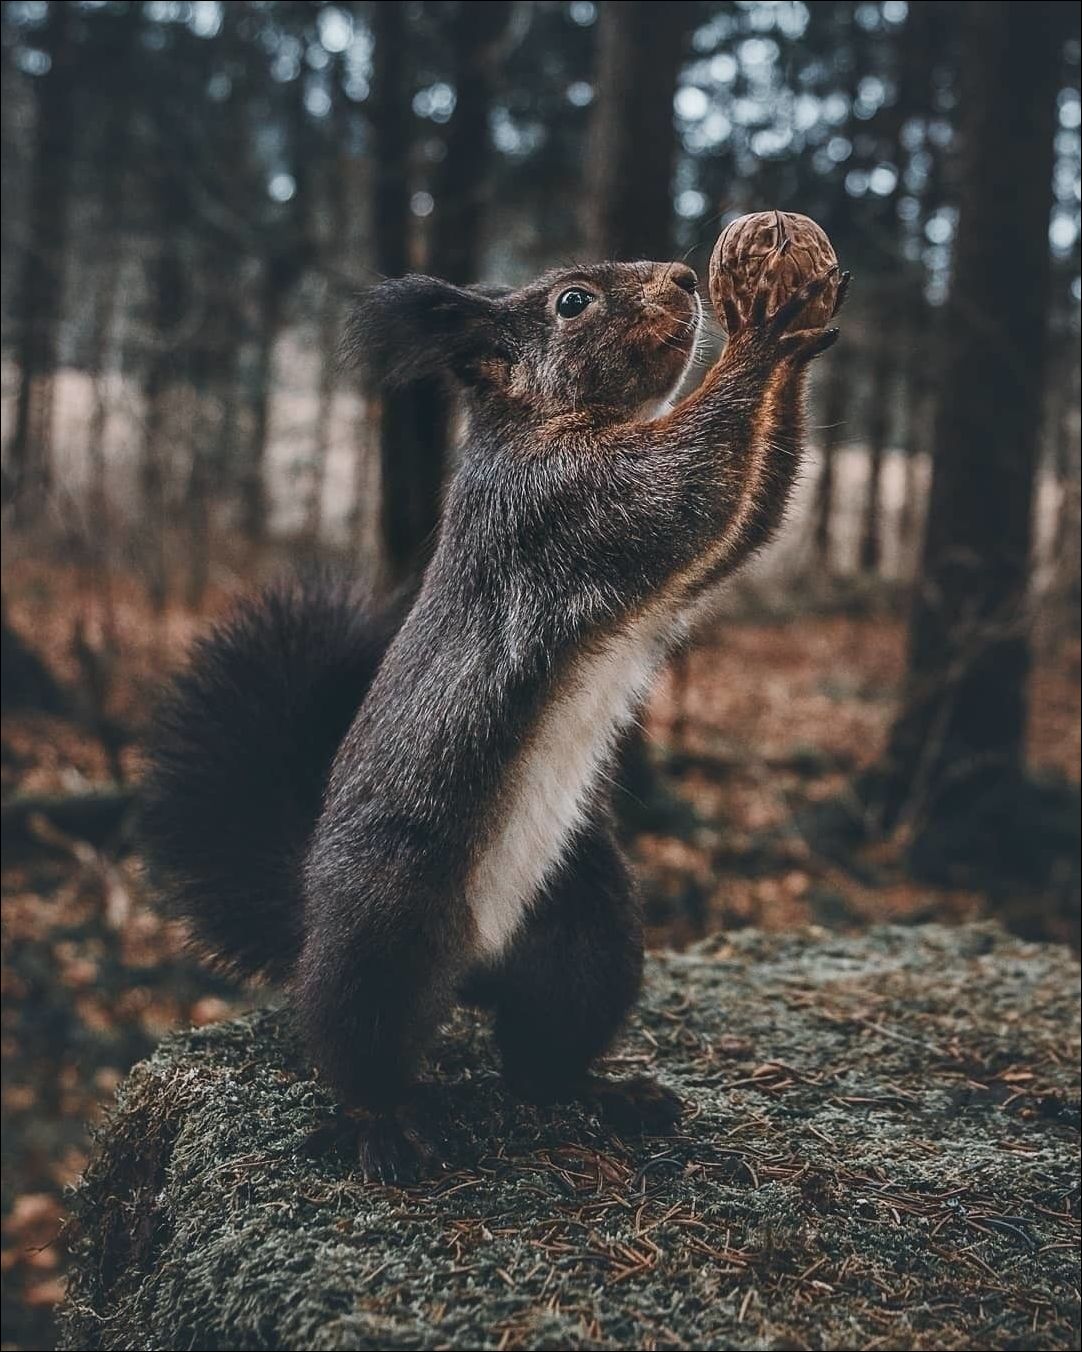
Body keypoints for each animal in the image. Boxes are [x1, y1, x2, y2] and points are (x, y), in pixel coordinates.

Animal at [142, 256, 846, 1181]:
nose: (686, 276)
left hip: (589, 920)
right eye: (573, 301)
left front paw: (798, 333)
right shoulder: (565, 505)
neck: (543, 423)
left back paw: (604, 1092)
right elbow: (687, 487)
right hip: (385, 920)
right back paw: (381, 1124)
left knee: (541, 1054)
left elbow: (744, 520)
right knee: (357, 1038)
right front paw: (766, 331)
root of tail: (477, 963)